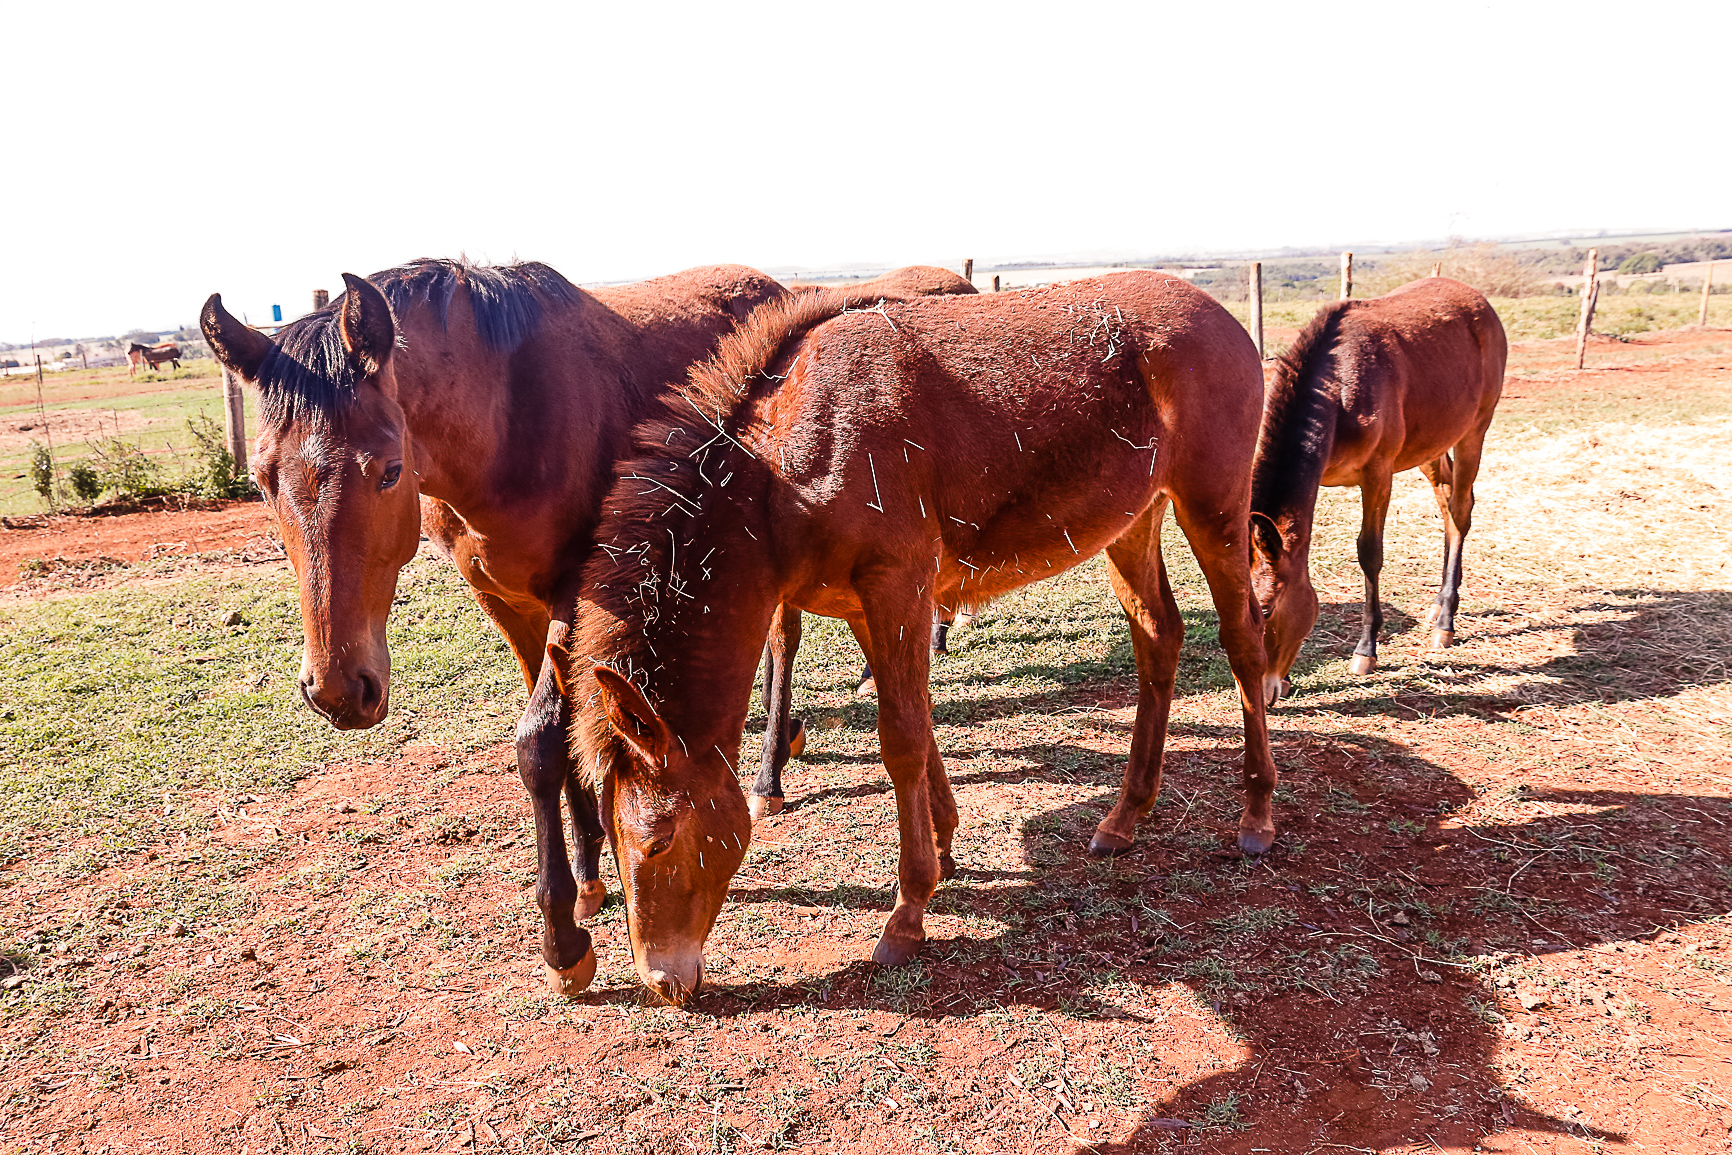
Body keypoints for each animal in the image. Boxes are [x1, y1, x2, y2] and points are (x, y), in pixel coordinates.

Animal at [553, 271, 1278, 1004]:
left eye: (659, 841)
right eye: (613, 838)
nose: (661, 979)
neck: (783, 470)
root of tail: (1219, 316)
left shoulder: (898, 587)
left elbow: (901, 740)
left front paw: (908, 912)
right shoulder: (862, 607)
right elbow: (921, 724)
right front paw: (947, 842)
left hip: (1213, 509)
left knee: (1244, 639)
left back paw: (1256, 812)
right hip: (1134, 521)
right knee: (1159, 637)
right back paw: (1125, 816)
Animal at [1248, 276, 1505, 705]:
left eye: (1266, 611)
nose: (1264, 690)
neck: (1338, 389)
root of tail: (1479, 302)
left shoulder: (1378, 474)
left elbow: (1370, 554)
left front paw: (1366, 651)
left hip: (1475, 429)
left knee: (1460, 511)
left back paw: (1446, 622)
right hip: (1430, 445)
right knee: (1447, 502)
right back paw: (1438, 606)